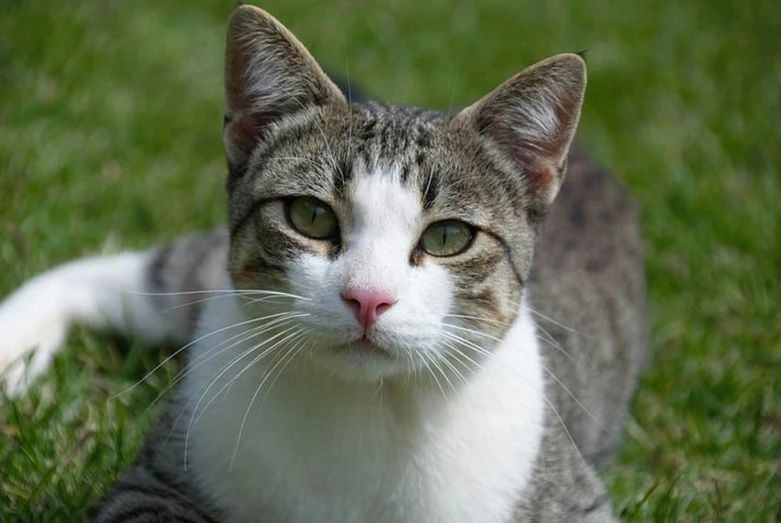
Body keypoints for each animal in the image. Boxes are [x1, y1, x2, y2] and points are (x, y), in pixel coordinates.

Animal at [0, 5, 644, 523]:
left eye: (449, 236)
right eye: (310, 216)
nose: (368, 297)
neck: (366, 407)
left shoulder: (569, 499)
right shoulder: (155, 482)